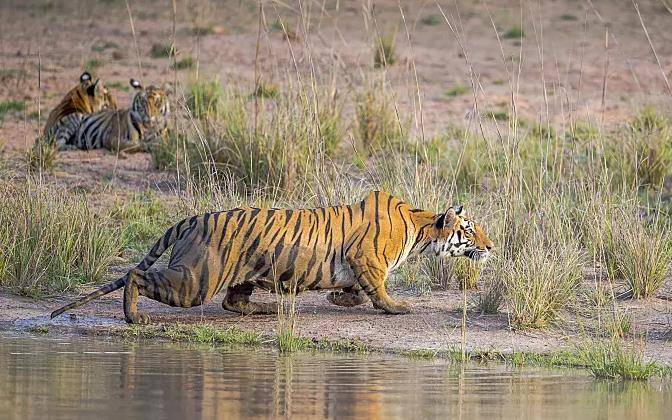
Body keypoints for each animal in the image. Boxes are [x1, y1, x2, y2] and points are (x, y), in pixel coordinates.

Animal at [51, 191, 494, 324]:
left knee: (233, 302)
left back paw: (265, 309)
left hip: (242, 274)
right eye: (470, 229)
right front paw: (396, 307)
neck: (421, 229)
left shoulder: (355, 264)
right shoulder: (366, 258)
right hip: (195, 280)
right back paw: (133, 317)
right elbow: (379, 289)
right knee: (135, 276)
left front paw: (341, 298)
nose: (491, 247)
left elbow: (354, 288)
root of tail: (192, 217)